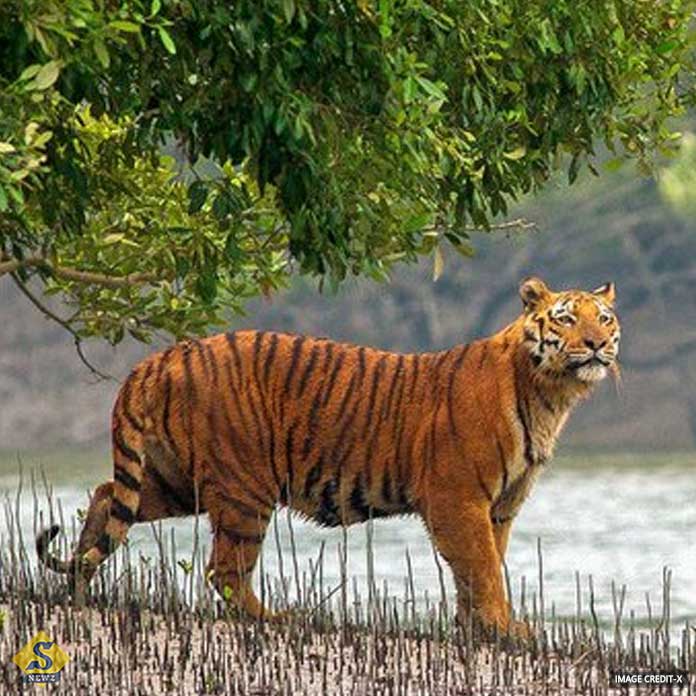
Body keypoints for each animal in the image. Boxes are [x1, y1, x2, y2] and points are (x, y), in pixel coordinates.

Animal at [36, 276, 620, 636]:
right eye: (566, 320)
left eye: (605, 319)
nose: (596, 344)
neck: (549, 394)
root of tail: (160, 358)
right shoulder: (458, 498)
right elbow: (481, 567)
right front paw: (504, 628)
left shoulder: (499, 506)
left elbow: (483, 566)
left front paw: (479, 628)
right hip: (244, 488)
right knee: (224, 570)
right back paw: (277, 618)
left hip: (177, 480)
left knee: (106, 496)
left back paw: (80, 587)